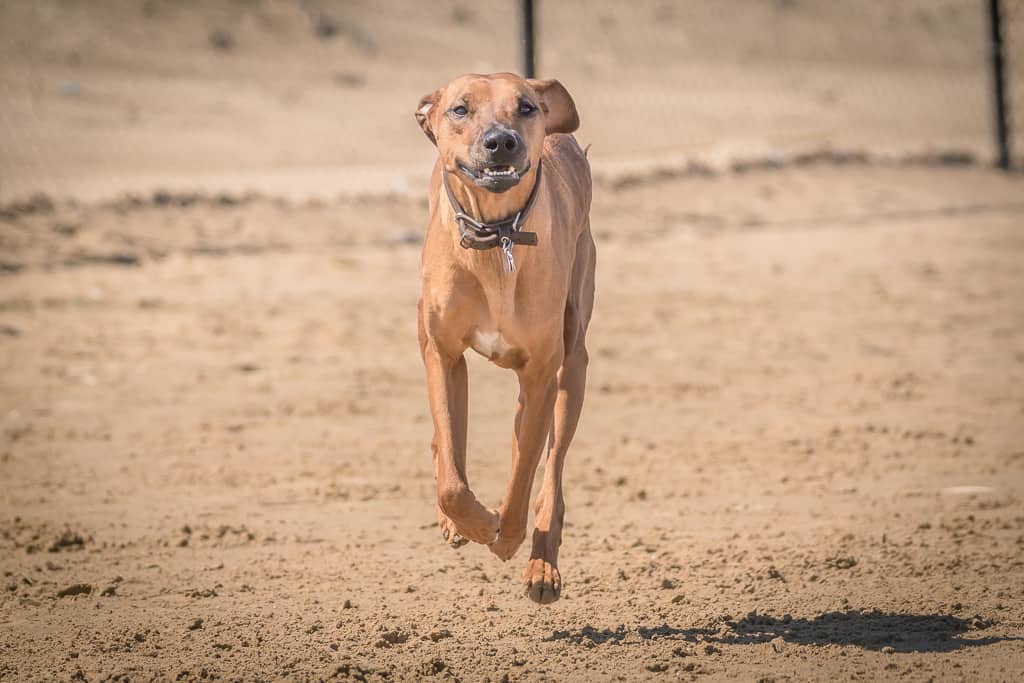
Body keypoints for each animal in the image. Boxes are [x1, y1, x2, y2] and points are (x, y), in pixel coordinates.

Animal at [413, 72, 598, 602]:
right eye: (460, 109)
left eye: (525, 107)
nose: (501, 142)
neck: (496, 239)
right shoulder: (443, 355)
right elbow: (453, 478)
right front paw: (471, 523)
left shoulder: (539, 376)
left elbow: (523, 476)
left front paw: (506, 536)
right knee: (444, 446)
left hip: (573, 364)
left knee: (549, 470)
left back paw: (541, 565)